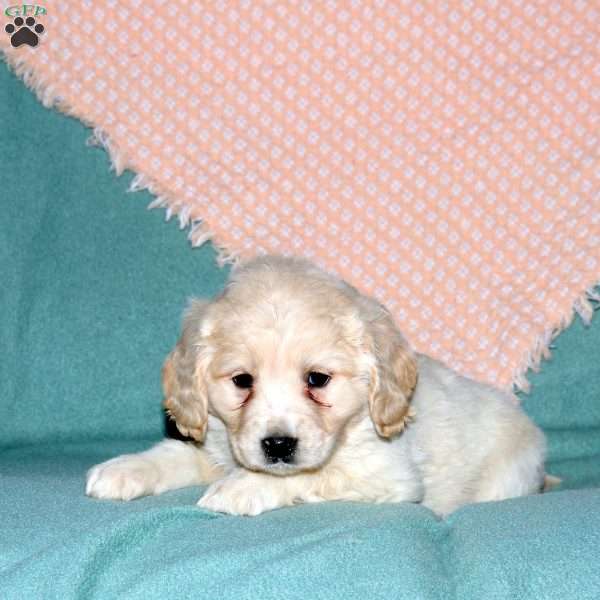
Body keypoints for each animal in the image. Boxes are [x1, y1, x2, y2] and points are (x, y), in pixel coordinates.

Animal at [85, 254, 548, 516]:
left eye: (317, 380)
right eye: (242, 381)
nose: (277, 445)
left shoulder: (387, 475)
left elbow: (312, 474)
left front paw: (241, 488)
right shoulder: (218, 447)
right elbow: (176, 454)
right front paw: (125, 469)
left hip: (508, 476)